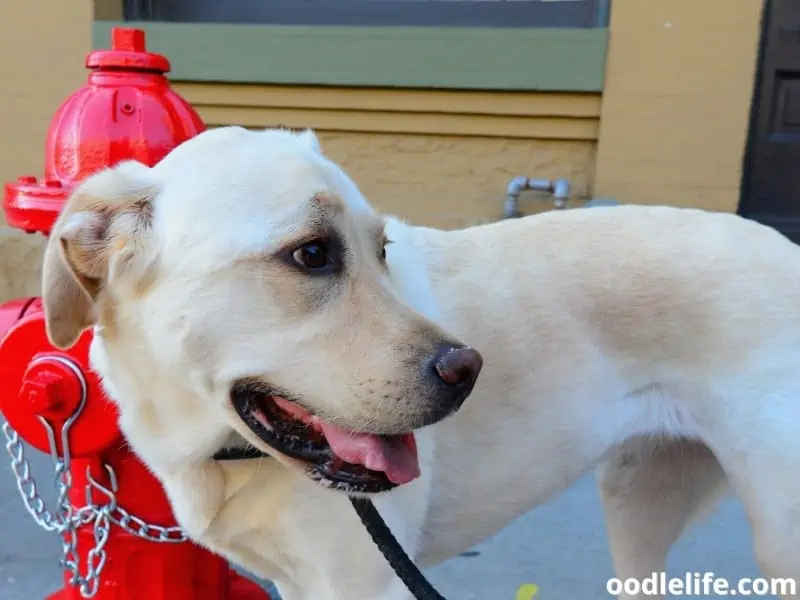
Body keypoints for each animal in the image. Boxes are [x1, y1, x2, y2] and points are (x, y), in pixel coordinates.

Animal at [39, 126, 800, 600]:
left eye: (382, 249)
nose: (469, 371)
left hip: (778, 536)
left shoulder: (366, 583)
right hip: (637, 505)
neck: (223, 453)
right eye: (311, 253)